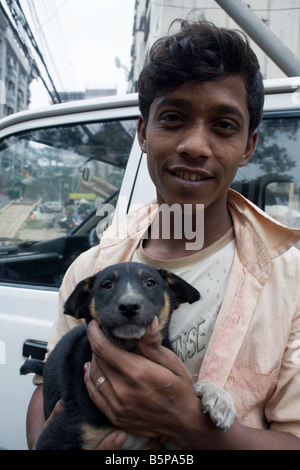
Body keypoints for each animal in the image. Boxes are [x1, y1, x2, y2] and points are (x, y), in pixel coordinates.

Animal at [21, 262, 237, 450]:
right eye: (107, 285)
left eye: (150, 283)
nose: (129, 306)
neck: (133, 351)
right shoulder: (58, 436)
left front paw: (217, 397)